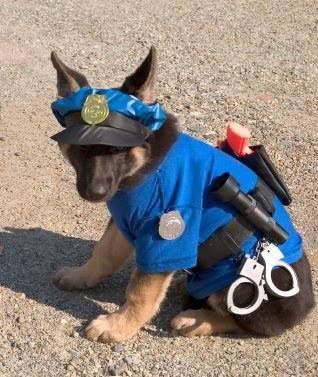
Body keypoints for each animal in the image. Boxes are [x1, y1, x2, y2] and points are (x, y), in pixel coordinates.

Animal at [51, 46, 314, 340]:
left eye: (117, 150)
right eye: (82, 148)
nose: (94, 193)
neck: (148, 164)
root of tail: (307, 306)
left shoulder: (166, 236)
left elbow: (141, 292)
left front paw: (119, 326)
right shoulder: (124, 223)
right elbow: (103, 253)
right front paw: (80, 276)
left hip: (241, 284)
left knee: (244, 321)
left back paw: (194, 319)